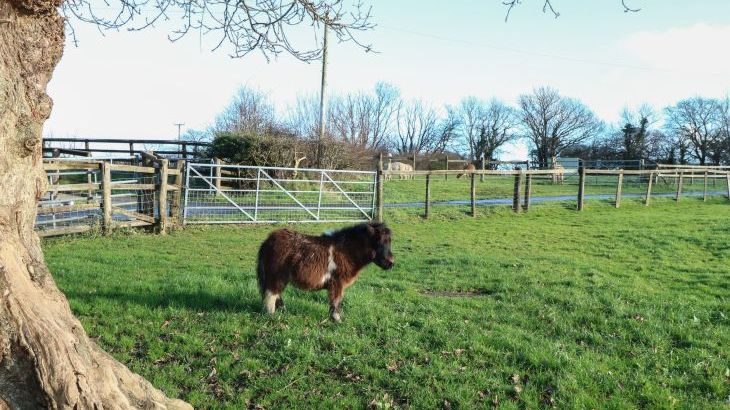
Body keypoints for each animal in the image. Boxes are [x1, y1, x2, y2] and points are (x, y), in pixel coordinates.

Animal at [256, 223, 392, 322]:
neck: (346, 251)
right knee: (271, 294)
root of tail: (268, 241)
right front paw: (337, 320)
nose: (390, 263)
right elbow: (335, 301)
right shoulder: (337, 283)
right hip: (276, 276)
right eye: (379, 242)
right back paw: (272, 316)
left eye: (389, 242)